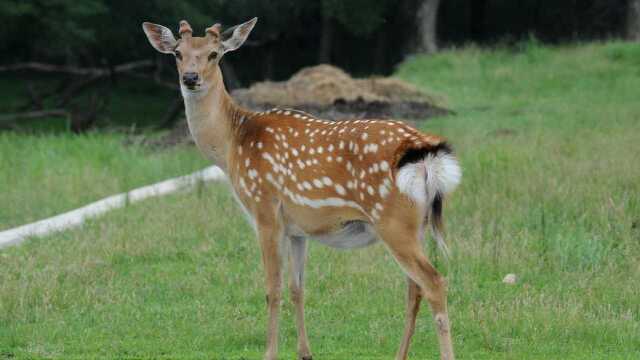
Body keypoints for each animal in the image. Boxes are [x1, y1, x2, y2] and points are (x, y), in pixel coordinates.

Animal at [141, 16, 460, 360]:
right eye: (177, 53)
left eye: (214, 54)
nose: (190, 78)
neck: (230, 146)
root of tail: (426, 154)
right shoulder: (298, 228)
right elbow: (297, 288)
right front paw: (305, 352)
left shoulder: (265, 209)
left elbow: (272, 288)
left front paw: (269, 353)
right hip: (417, 223)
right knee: (414, 288)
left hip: (392, 219)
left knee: (434, 282)